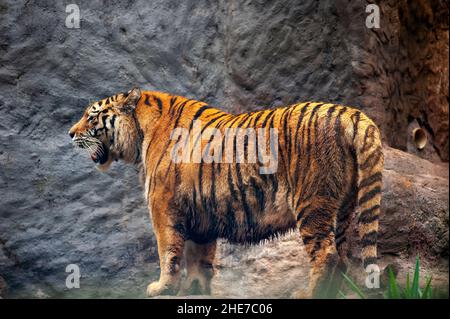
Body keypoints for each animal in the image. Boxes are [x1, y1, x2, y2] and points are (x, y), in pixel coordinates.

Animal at [67, 87, 384, 298]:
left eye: (91, 117)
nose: (70, 134)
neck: (141, 133)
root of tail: (351, 113)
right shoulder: (200, 214)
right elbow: (199, 258)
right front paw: (196, 290)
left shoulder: (163, 207)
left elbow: (168, 251)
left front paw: (161, 287)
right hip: (344, 206)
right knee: (343, 255)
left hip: (312, 202)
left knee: (326, 254)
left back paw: (308, 293)